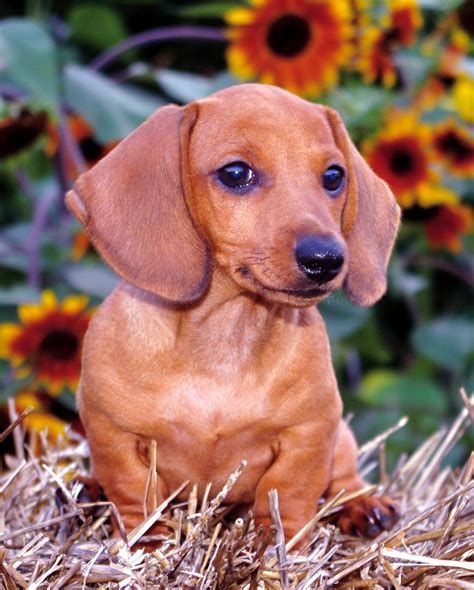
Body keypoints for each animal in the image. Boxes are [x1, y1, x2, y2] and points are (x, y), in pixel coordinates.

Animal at [65, 83, 400, 544]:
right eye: (236, 173)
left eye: (334, 177)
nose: (326, 259)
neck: (226, 335)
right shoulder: (111, 433)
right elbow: (135, 494)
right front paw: (147, 543)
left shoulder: (312, 432)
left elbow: (288, 492)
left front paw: (278, 548)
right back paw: (84, 492)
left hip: (344, 440)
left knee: (345, 480)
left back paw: (363, 506)